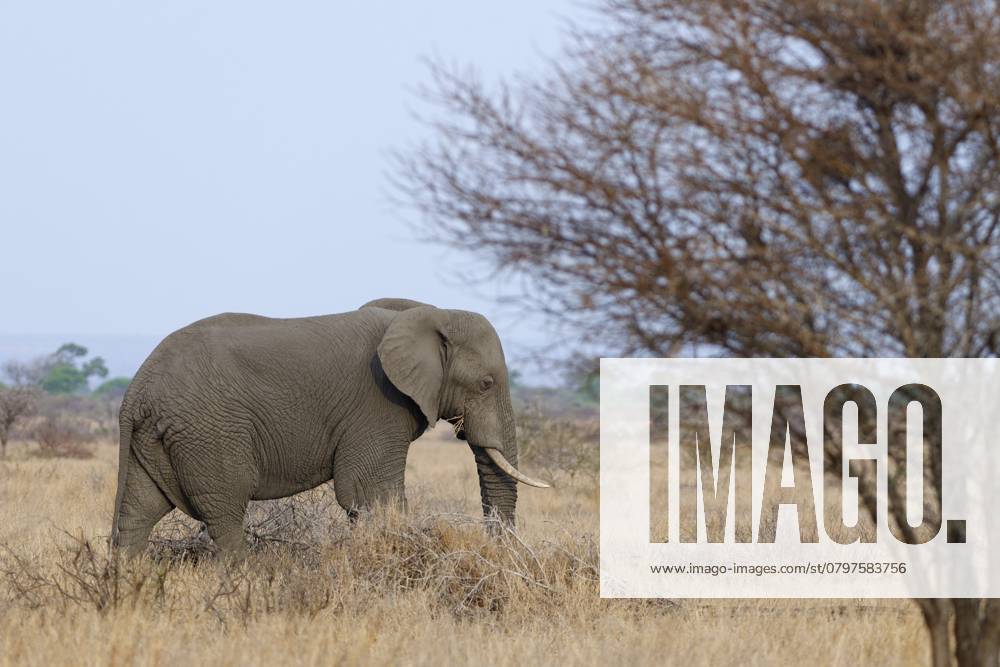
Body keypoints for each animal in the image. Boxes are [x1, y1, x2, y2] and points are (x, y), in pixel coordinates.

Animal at [110, 298, 548, 557]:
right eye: (486, 384)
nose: (498, 554)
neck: (430, 311)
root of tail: (136, 392)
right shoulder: (377, 405)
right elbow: (369, 492)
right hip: (209, 431)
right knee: (224, 512)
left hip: (159, 438)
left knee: (139, 511)